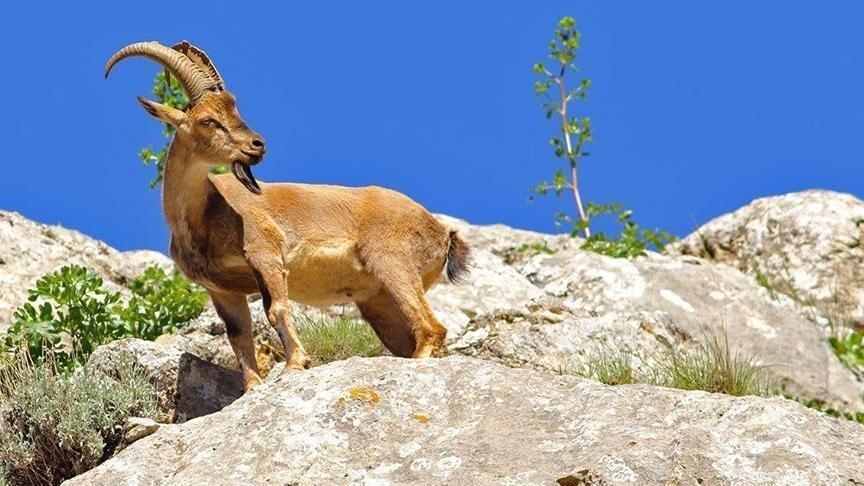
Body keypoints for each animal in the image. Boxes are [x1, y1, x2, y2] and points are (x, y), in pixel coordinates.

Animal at [107, 41, 472, 392]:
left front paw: (295, 364)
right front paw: (252, 389)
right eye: (208, 120)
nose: (257, 145)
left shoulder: (265, 253)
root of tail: (442, 232)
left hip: (391, 262)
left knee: (433, 328)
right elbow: (239, 336)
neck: (203, 217)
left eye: (234, 109)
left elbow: (277, 308)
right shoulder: (223, 290)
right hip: (378, 301)